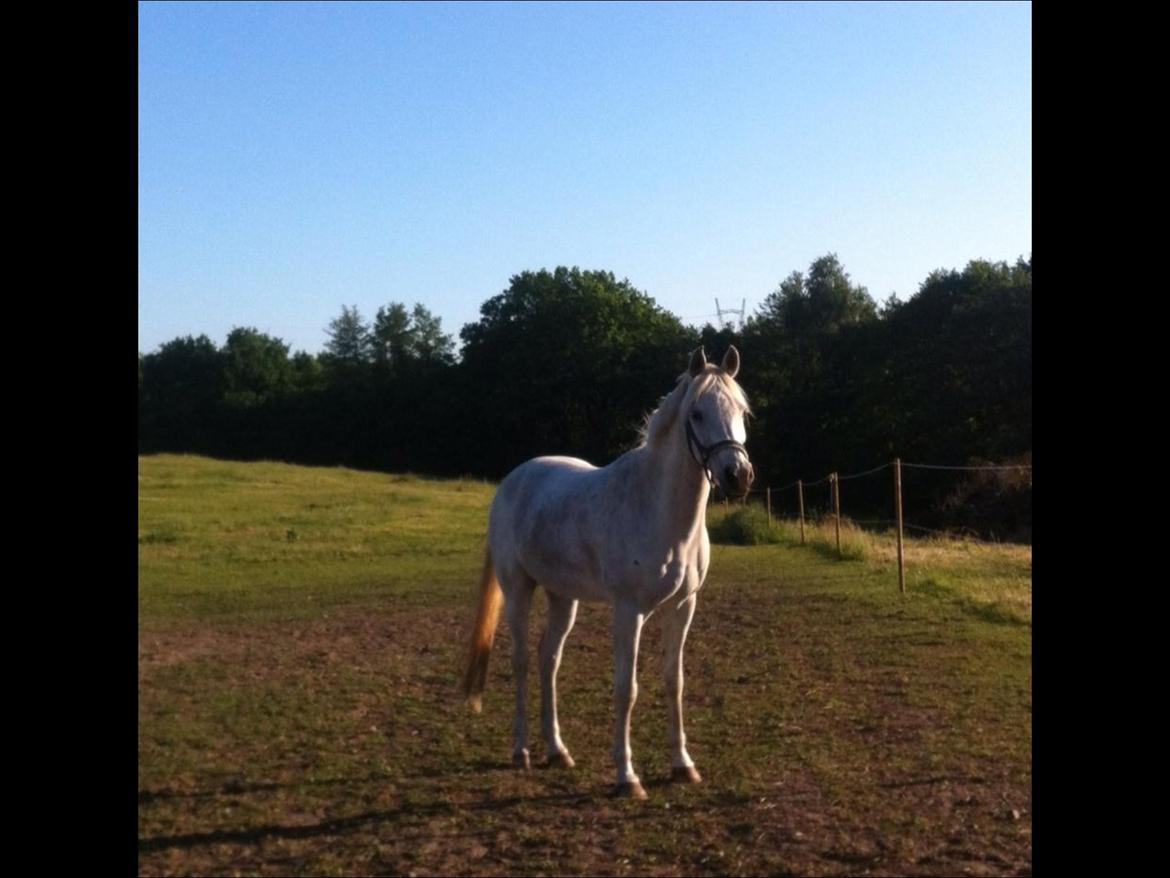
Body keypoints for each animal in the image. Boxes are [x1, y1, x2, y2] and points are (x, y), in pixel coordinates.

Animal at [460, 346, 753, 800]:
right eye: (698, 413)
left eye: (742, 410)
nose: (737, 475)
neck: (658, 509)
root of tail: (513, 480)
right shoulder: (629, 611)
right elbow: (625, 690)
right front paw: (626, 777)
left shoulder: (683, 606)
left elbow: (674, 682)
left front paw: (683, 765)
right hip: (518, 588)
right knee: (522, 660)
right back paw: (521, 751)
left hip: (563, 598)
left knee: (549, 659)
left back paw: (557, 751)